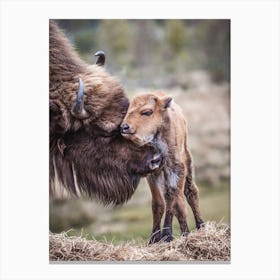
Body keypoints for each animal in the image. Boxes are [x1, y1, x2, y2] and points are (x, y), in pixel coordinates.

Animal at [120, 92, 203, 243]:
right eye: (128, 110)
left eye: (147, 112)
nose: (124, 127)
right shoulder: (153, 174)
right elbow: (158, 204)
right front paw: (154, 239)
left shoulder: (177, 170)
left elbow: (179, 204)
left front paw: (186, 234)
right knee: (168, 198)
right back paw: (167, 234)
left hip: (187, 161)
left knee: (191, 192)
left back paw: (201, 226)